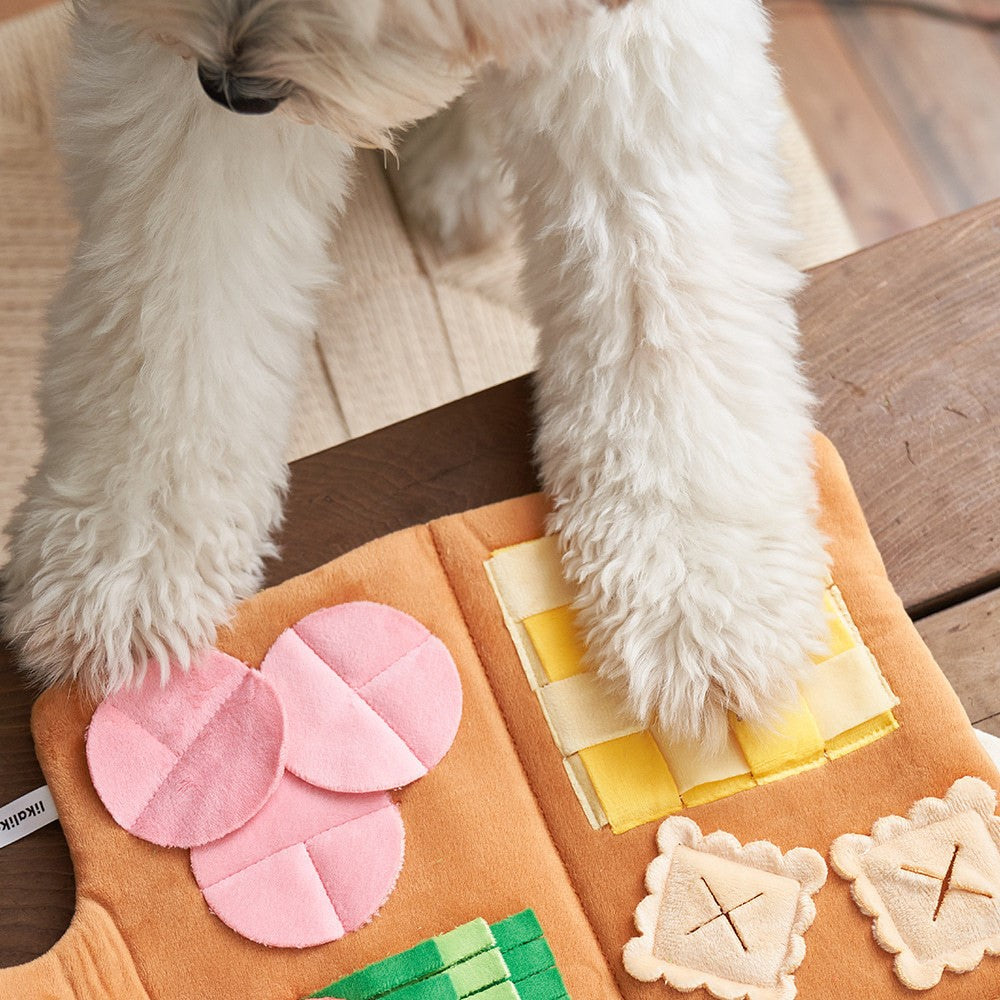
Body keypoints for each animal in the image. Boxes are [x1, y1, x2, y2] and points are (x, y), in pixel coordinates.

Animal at [0, 0, 828, 744]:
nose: (234, 85)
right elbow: (176, 283)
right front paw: (126, 549)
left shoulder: (642, 49)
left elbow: (662, 264)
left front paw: (697, 580)